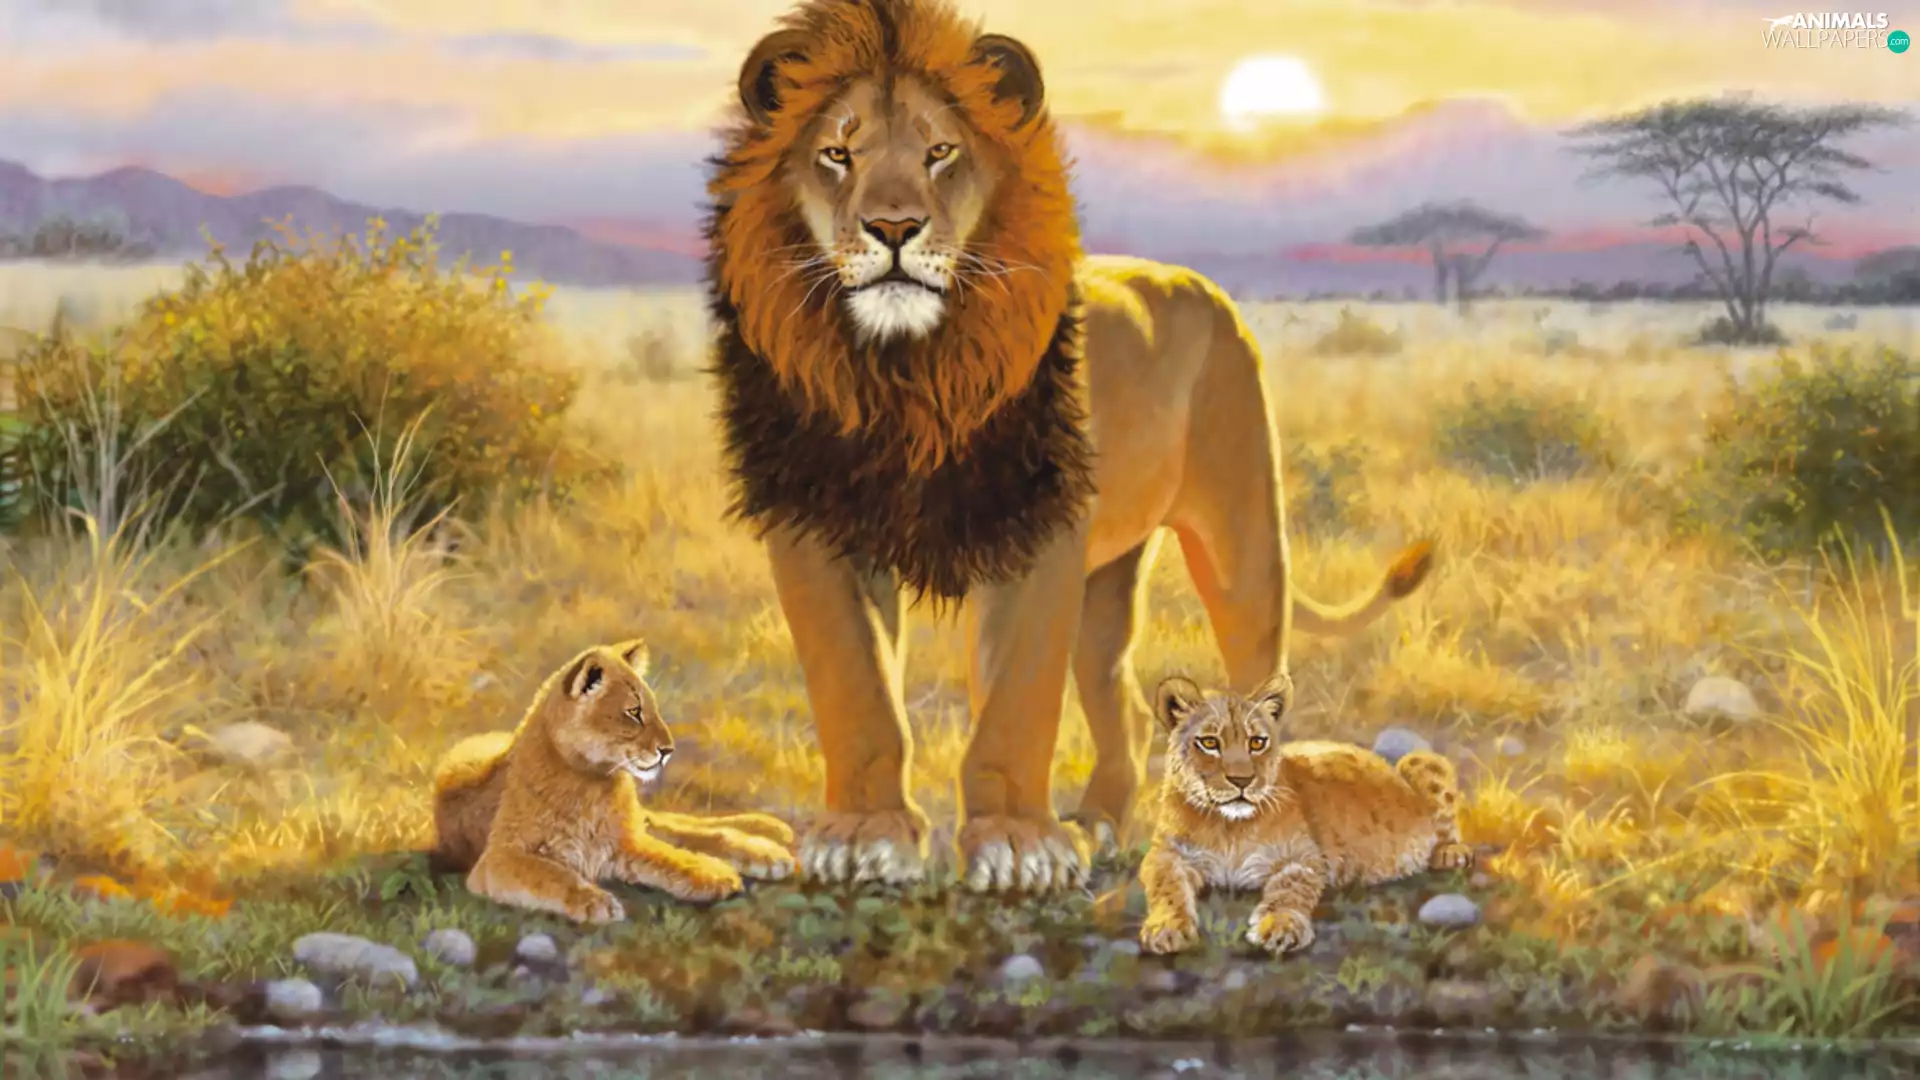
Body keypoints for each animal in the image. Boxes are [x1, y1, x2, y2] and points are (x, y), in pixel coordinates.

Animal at [430, 640, 798, 923]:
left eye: (652, 708)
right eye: (634, 712)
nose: (668, 750)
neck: (592, 781)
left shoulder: (624, 841)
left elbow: (671, 858)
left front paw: (716, 874)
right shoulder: (497, 860)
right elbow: (550, 875)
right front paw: (596, 903)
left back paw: (770, 842)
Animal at [708, 0, 1434, 892]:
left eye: (941, 152)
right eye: (836, 155)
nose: (893, 228)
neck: (907, 372)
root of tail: (1200, 284)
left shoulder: (1041, 530)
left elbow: (1018, 700)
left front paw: (1016, 845)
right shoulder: (813, 525)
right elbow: (856, 687)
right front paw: (864, 834)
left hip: (1243, 544)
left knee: (1253, 684)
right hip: (1109, 577)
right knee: (1123, 695)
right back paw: (1100, 822)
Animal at [1136, 675, 1472, 956]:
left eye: (1257, 742)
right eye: (1209, 743)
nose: (1242, 780)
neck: (1227, 826)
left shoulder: (1304, 856)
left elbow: (1290, 890)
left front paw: (1281, 926)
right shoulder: (1165, 853)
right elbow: (1167, 887)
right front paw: (1166, 928)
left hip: (1421, 760)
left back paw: (1451, 853)